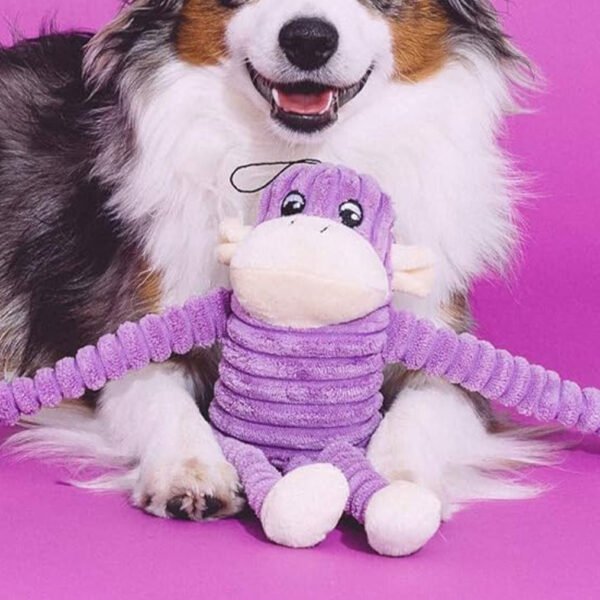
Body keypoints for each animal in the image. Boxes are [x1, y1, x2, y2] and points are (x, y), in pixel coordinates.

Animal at [1, 0, 552, 548]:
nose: (308, 40)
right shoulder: (126, 327)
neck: (302, 154)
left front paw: (395, 481)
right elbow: (160, 400)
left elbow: (421, 413)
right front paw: (190, 469)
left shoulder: (448, 349)